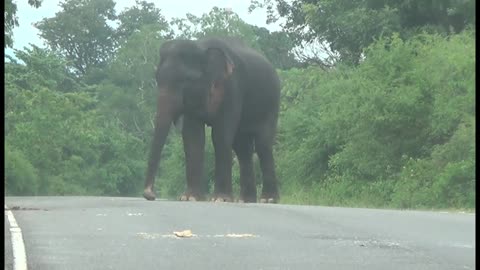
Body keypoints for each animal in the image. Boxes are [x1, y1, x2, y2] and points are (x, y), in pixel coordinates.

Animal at [142, 37, 282, 202]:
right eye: (157, 78)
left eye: (186, 80)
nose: (150, 195)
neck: (201, 47)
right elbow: (193, 137)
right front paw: (190, 198)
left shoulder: (232, 88)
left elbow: (220, 135)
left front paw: (220, 199)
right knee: (242, 148)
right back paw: (246, 200)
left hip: (271, 103)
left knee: (262, 144)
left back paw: (268, 199)